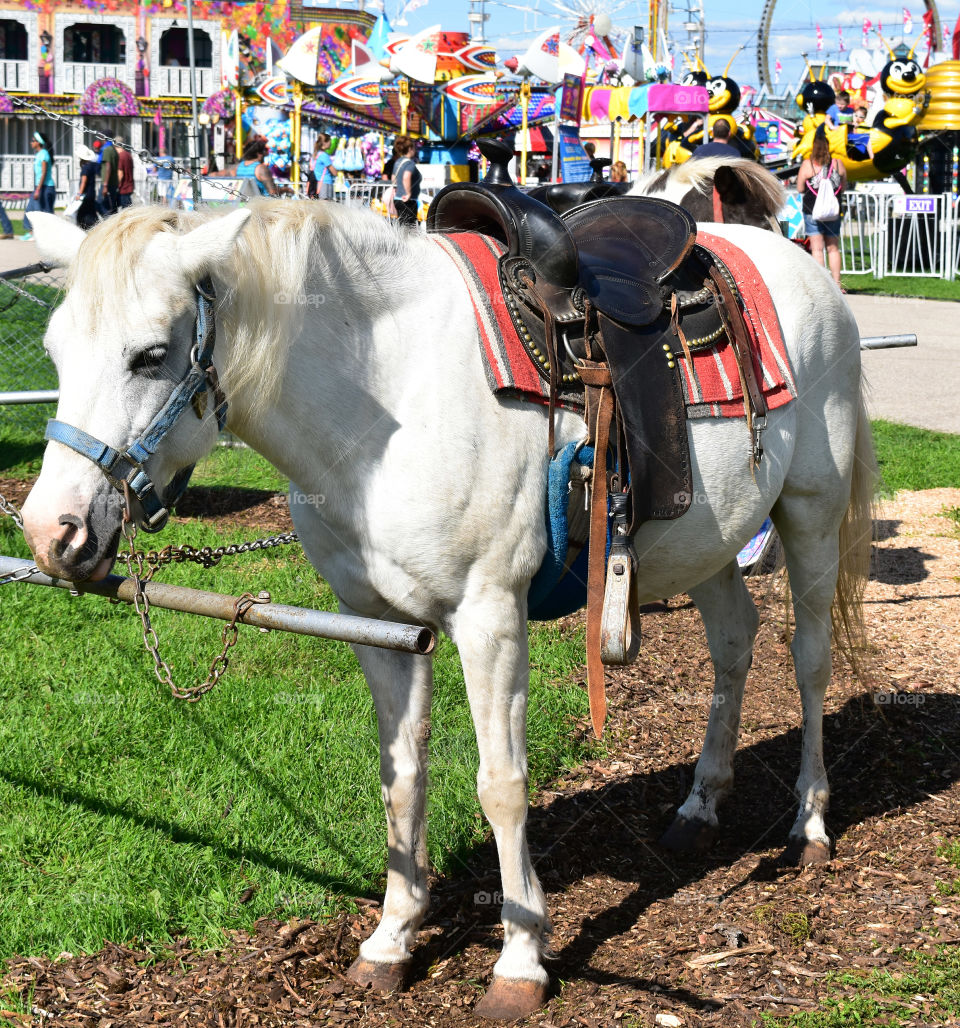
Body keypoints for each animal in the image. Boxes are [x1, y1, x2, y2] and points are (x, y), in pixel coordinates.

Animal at [22, 202, 873, 1020]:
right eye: (56, 354)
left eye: (149, 355)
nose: (49, 531)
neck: (389, 403)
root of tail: (800, 262)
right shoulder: (374, 624)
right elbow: (401, 776)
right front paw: (391, 940)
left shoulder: (489, 620)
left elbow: (502, 785)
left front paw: (520, 963)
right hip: (709, 538)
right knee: (734, 641)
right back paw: (700, 804)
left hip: (810, 512)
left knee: (810, 660)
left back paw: (810, 825)